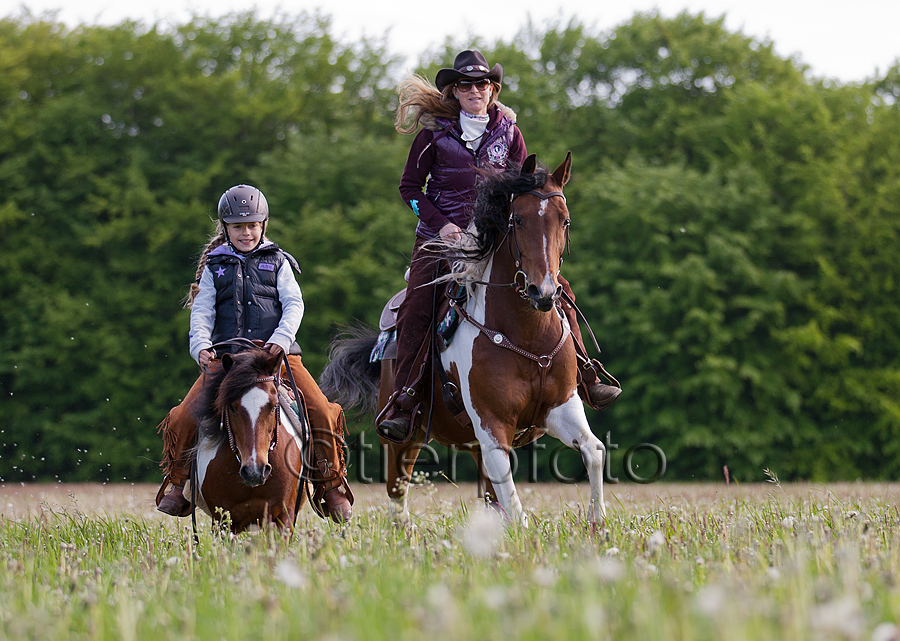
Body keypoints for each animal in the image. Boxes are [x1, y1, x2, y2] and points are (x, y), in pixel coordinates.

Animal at [320, 152, 608, 524]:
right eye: (517, 220)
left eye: (565, 221)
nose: (543, 292)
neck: (526, 339)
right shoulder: (492, 427)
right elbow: (515, 507)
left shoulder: (562, 409)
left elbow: (594, 450)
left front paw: (597, 523)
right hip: (403, 441)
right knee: (398, 501)